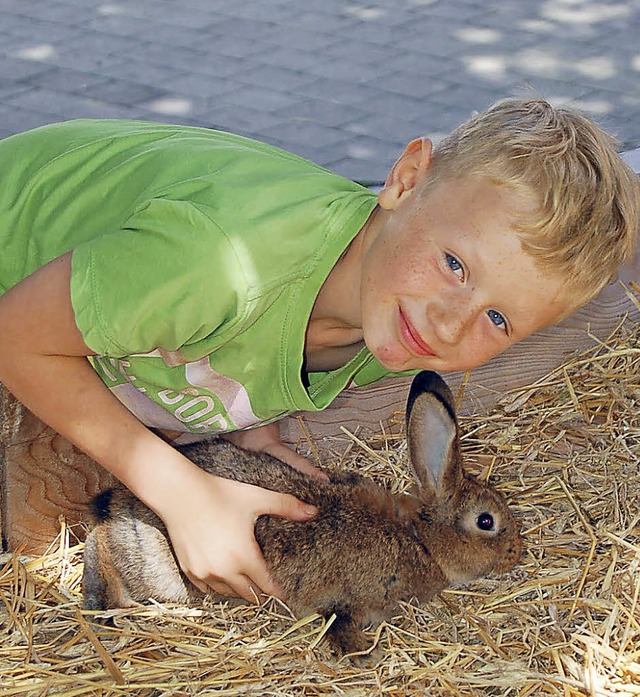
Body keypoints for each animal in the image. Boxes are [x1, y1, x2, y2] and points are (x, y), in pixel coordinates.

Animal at [82, 372, 524, 656]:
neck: (420, 539)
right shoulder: (346, 598)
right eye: (487, 522)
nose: (516, 553)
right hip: (158, 572)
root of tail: (116, 507)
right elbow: (337, 621)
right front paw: (361, 653)